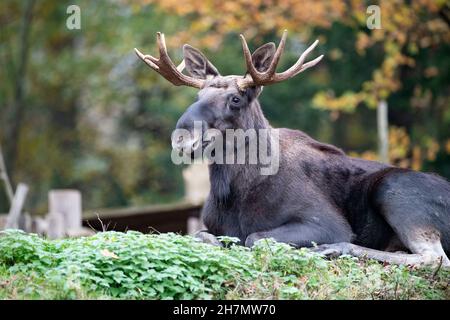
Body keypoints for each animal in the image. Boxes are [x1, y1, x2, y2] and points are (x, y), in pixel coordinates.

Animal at [135, 31, 450, 266]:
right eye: (198, 95)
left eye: (236, 98)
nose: (181, 138)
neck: (233, 193)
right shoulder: (211, 226)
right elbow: (203, 236)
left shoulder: (326, 222)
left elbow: (254, 237)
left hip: (395, 191)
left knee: (435, 258)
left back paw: (331, 249)